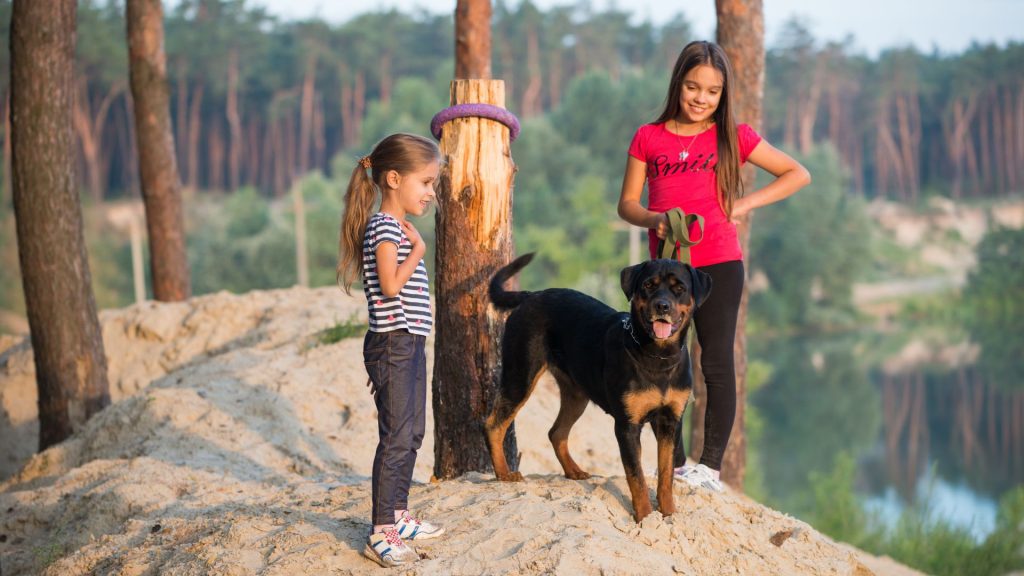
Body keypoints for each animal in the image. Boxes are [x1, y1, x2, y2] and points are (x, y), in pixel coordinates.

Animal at [481, 251, 708, 520]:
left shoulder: (670, 422)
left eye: (679, 288)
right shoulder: (627, 425)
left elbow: (666, 474)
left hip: (576, 395)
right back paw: (504, 474)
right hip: (521, 375)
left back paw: (574, 471)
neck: (658, 356)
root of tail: (532, 295)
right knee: (493, 424)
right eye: (648, 285)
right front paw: (644, 516)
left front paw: (668, 514)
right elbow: (636, 477)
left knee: (556, 432)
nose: (662, 306)